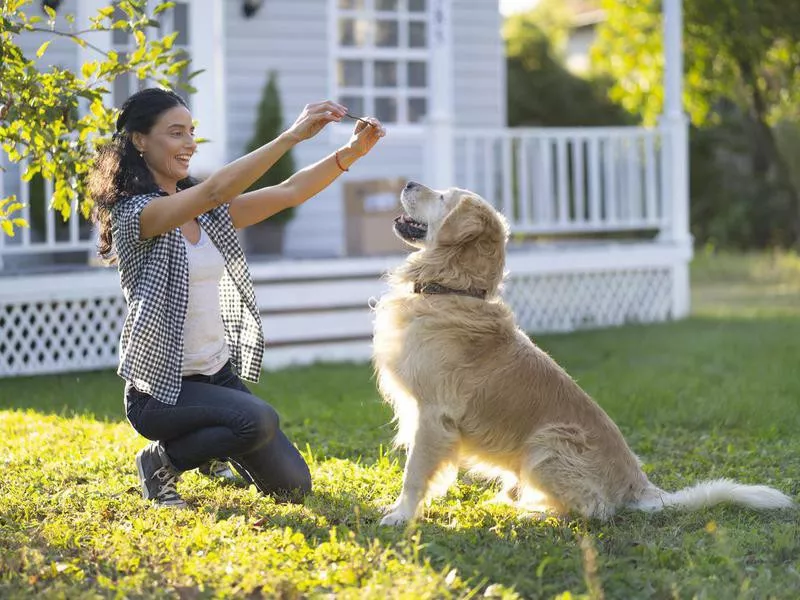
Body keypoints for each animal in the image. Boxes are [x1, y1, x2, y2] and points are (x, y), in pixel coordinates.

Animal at [372, 179, 796, 524]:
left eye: (442, 197)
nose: (408, 182)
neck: (451, 289)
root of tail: (639, 485)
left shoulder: (433, 413)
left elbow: (414, 473)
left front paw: (401, 515)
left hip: (546, 444)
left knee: (595, 510)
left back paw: (532, 514)